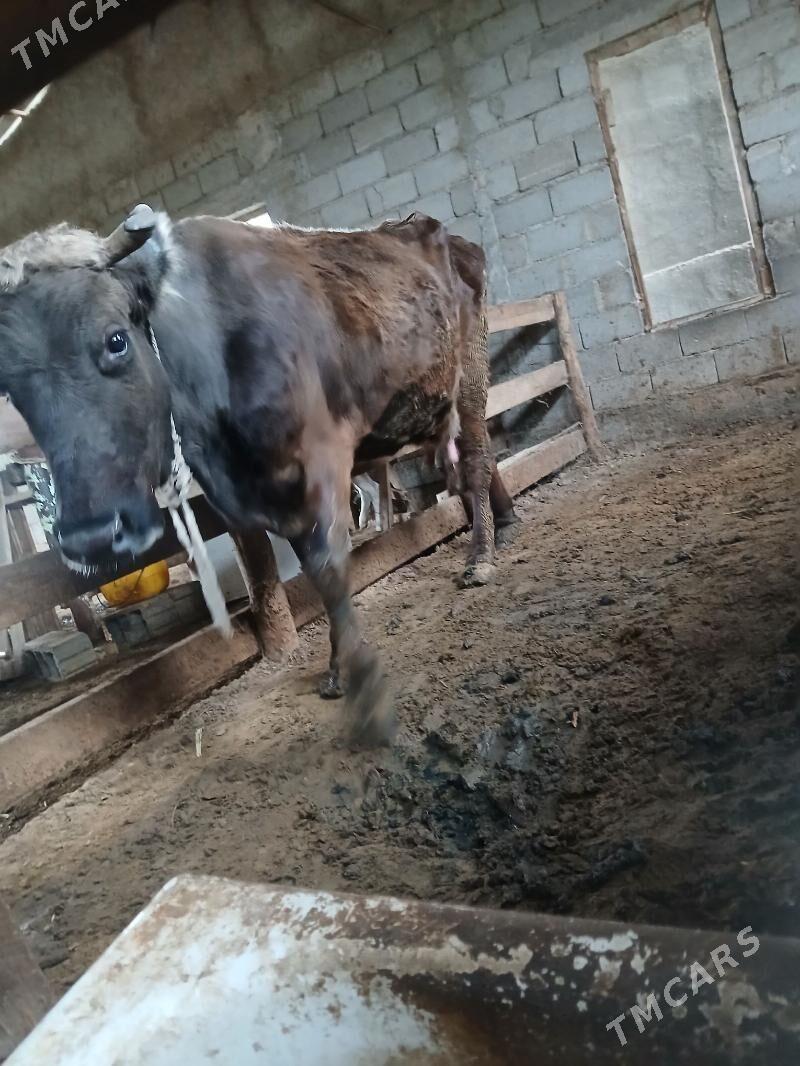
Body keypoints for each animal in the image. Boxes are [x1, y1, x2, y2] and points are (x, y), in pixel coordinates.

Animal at [0, 206, 518, 743]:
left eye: (116, 340)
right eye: (7, 383)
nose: (91, 537)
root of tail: (428, 227)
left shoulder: (323, 458)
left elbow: (329, 563)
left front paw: (361, 682)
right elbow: (312, 570)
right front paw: (340, 665)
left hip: (470, 370)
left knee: (476, 461)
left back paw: (482, 556)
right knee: (463, 463)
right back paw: (505, 523)